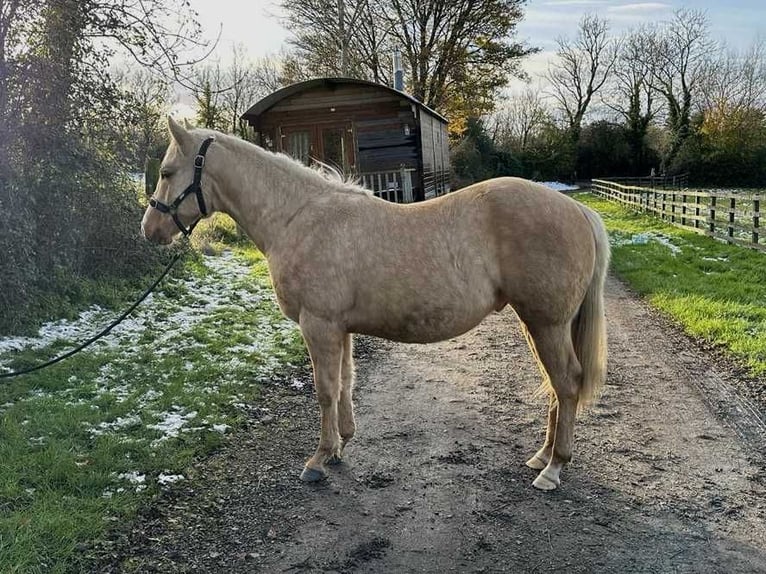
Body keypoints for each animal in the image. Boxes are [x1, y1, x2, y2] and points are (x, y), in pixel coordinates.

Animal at [142, 119, 612, 492]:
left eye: (166, 172)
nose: (150, 229)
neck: (297, 217)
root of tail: (577, 209)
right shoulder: (338, 327)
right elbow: (345, 383)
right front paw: (340, 446)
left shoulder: (318, 325)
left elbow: (325, 390)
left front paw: (318, 459)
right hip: (539, 323)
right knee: (556, 387)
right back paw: (542, 456)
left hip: (547, 323)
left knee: (566, 383)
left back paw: (553, 469)